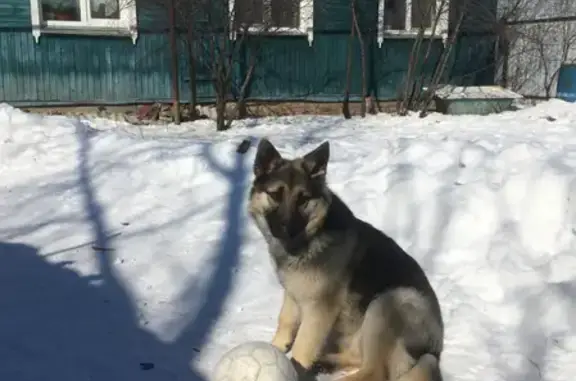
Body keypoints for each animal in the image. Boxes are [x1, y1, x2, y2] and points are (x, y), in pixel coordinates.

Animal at [248, 138, 446, 380]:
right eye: (275, 194)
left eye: (303, 199)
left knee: (375, 372)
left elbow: (302, 346)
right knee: (360, 360)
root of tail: (434, 352)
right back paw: (325, 363)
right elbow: (285, 320)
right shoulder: (293, 293)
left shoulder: (319, 310)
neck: (313, 234)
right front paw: (276, 347)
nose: (288, 230)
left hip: (387, 303)